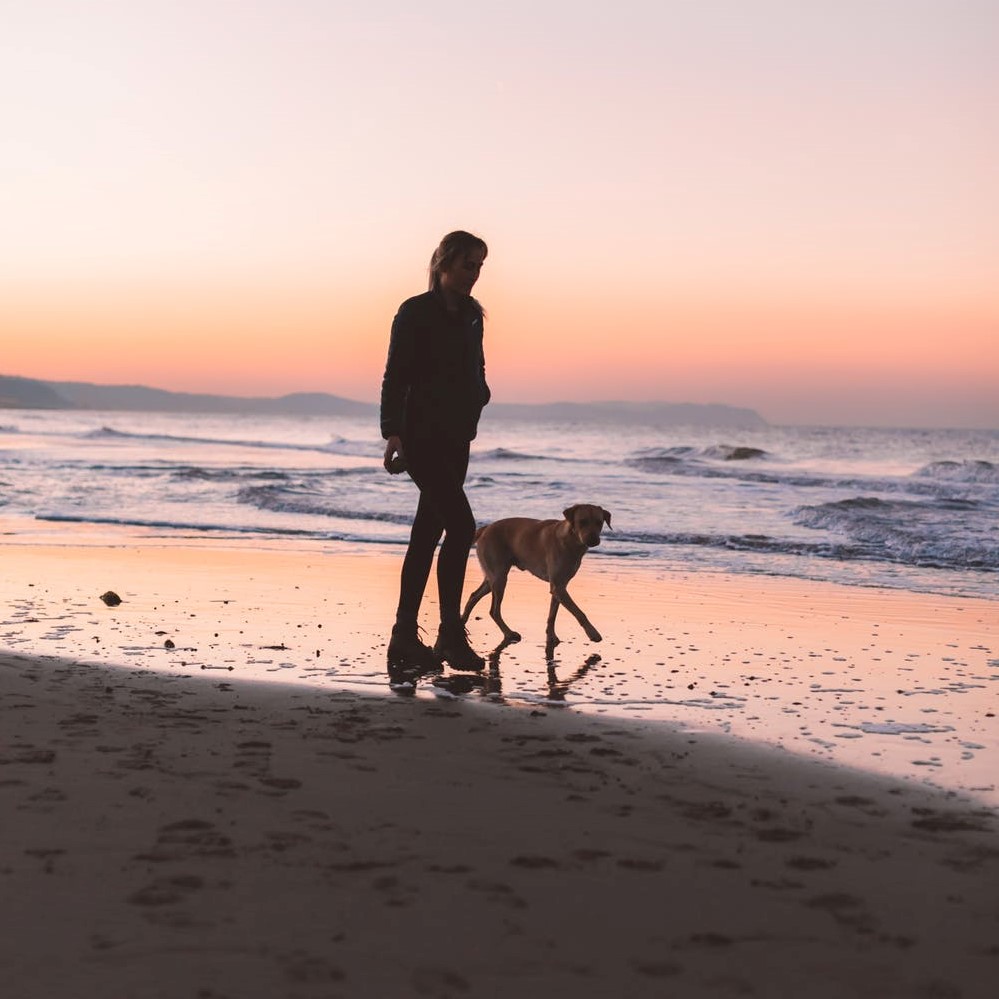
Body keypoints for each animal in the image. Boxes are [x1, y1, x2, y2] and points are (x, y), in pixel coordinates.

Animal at [460, 508, 608, 656]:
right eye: (582, 522)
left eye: (599, 522)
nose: (594, 539)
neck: (571, 541)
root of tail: (486, 528)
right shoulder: (558, 588)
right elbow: (579, 613)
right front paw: (593, 633)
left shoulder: (559, 587)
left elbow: (552, 616)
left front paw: (551, 636)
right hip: (499, 577)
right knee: (494, 611)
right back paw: (509, 633)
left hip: (492, 577)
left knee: (474, 595)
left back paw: (462, 623)